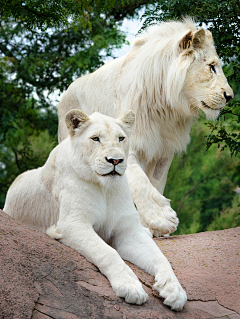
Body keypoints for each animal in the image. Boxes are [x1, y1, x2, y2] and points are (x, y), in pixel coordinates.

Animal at [3, 110, 188, 312]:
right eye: (95, 138)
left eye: (121, 138)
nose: (115, 160)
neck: (105, 188)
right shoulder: (72, 224)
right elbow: (108, 252)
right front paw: (130, 286)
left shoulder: (128, 231)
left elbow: (161, 258)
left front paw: (175, 291)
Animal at [57, 18, 233, 238]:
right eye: (211, 67)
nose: (230, 96)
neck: (166, 106)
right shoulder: (130, 144)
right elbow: (140, 182)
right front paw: (162, 218)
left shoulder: (164, 152)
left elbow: (155, 184)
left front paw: (153, 229)